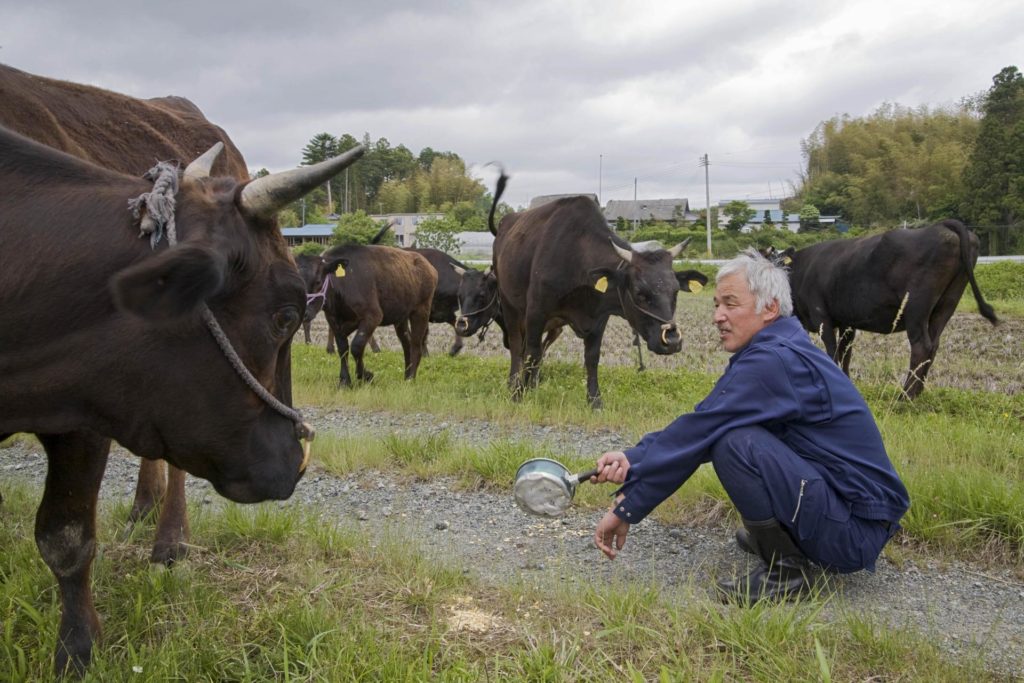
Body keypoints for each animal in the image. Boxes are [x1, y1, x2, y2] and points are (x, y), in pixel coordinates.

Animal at [0, 121, 368, 671]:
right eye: (285, 316)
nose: (297, 459)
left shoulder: (80, 424)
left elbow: (65, 537)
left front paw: (76, 651)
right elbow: (65, 538)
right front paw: (78, 650)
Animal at [485, 168, 704, 409]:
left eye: (675, 291)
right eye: (640, 293)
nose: (672, 341)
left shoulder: (598, 318)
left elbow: (591, 358)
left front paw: (594, 400)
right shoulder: (536, 312)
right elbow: (531, 353)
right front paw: (518, 395)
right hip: (510, 306)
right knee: (517, 346)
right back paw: (513, 382)